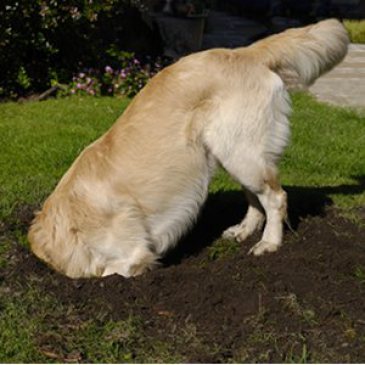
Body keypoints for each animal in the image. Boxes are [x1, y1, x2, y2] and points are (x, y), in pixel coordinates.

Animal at [27, 18, 346, 278]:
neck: (70, 221)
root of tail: (243, 52)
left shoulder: (133, 253)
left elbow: (116, 270)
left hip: (241, 153)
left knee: (276, 197)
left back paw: (269, 243)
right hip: (233, 152)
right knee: (256, 198)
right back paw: (244, 230)